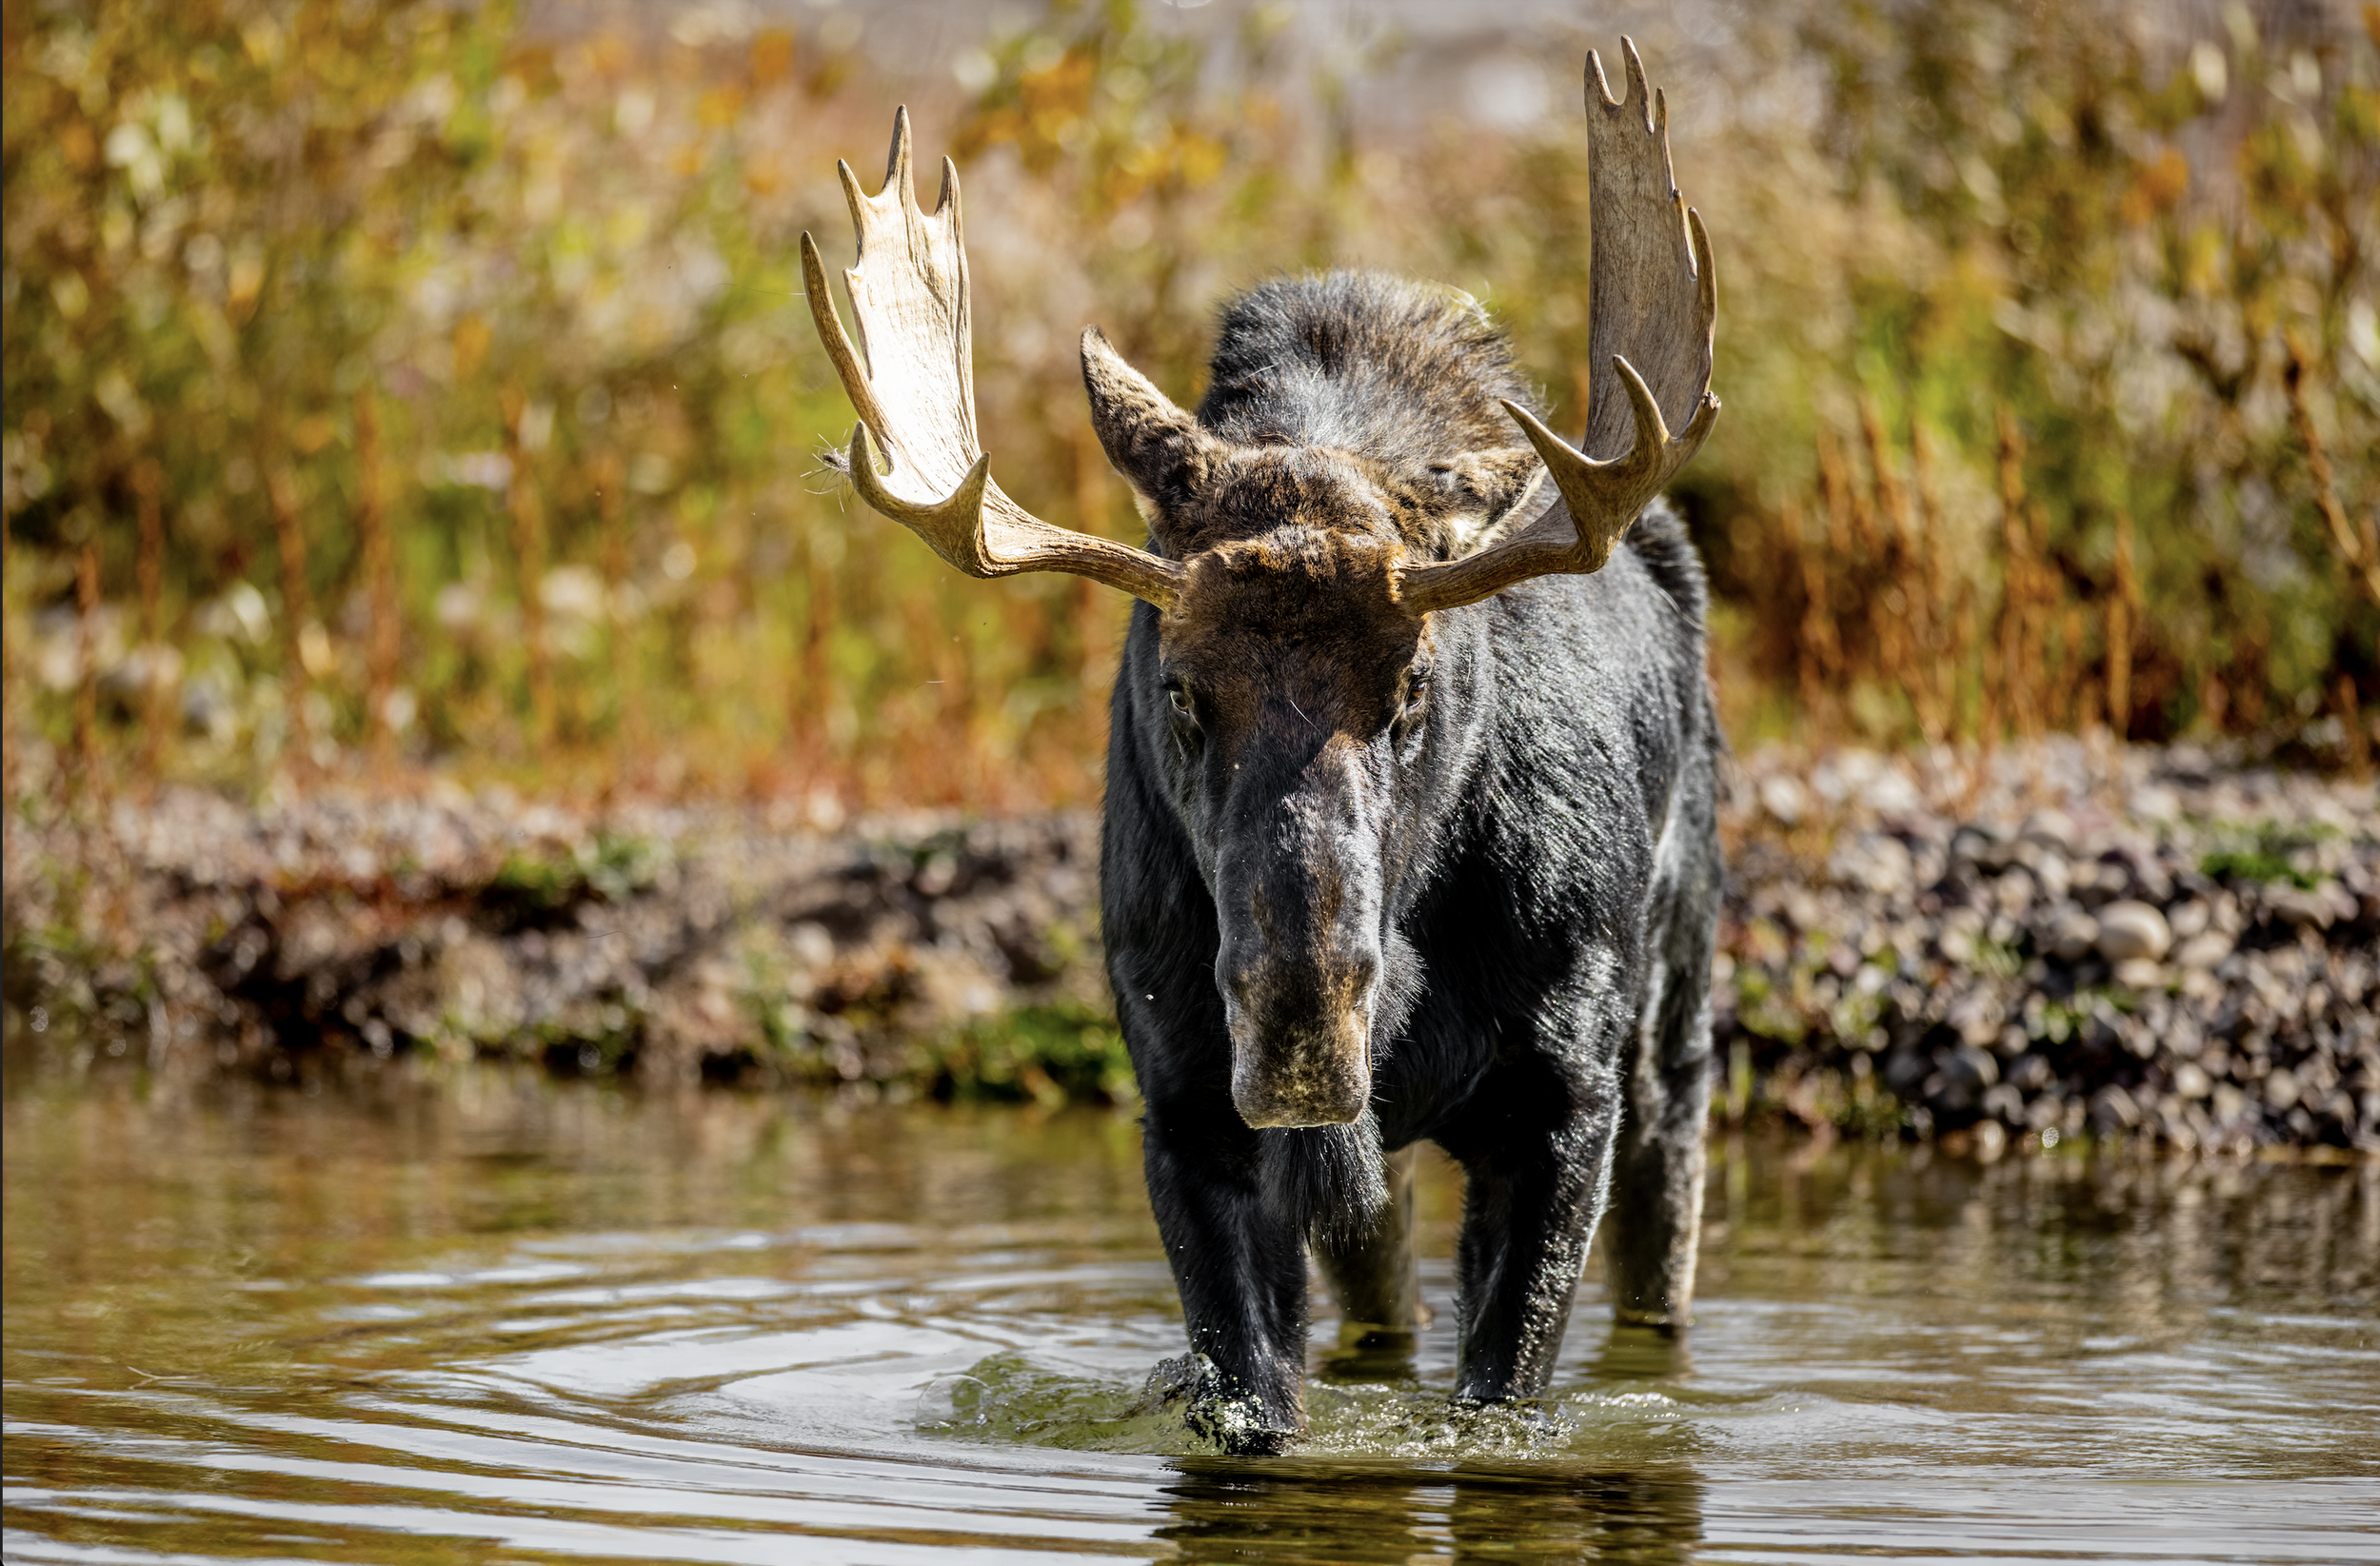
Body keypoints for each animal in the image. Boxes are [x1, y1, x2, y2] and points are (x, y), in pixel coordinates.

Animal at [803, 38, 1723, 1455]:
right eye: (1182, 691)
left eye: (1411, 687)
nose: (1299, 1018)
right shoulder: (1185, 1098)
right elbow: (1251, 1399)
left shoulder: (1564, 1093)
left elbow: (1499, 1395)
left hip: (1675, 1012)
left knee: (1661, 1236)